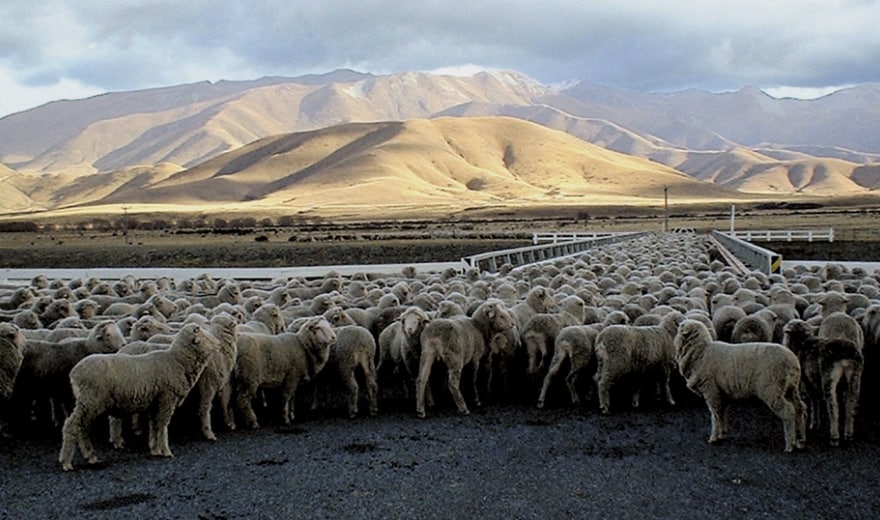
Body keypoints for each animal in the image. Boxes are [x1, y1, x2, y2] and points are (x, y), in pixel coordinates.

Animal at [58, 322, 220, 470]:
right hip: (90, 400)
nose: (218, 345)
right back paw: (66, 462)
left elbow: (154, 426)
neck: (177, 361)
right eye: (204, 336)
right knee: (72, 425)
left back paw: (90, 456)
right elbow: (162, 425)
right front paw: (166, 451)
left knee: (82, 427)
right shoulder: (166, 399)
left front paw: (155, 449)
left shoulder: (154, 403)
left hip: (87, 402)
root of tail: (74, 373)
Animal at [672, 318, 804, 452]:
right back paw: (800, 440)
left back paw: (789, 445)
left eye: (681, 327)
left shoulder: (711, 389)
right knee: (799, 409)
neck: (701, 352)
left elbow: (714, 415)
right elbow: (721, 414)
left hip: (772, 388)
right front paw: (722, 435)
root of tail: (792, 361)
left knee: (788, 411)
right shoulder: (722, 393)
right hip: (791, 388)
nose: (677, 324)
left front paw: (713, 438)